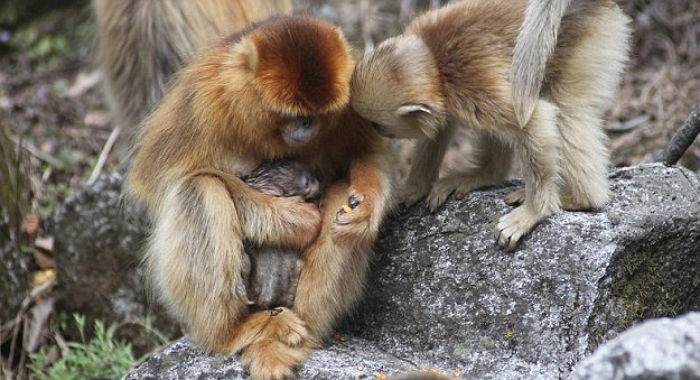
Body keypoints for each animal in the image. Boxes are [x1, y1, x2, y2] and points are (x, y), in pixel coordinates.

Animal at [352, 0, 632, 251]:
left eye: (376, 124)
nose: (379, 133)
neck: (437, 61)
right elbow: (441, 127)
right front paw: (415, 188)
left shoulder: (468, 83)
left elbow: (533, 120)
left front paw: (534, 212)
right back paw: (485, 175)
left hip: (592, 40)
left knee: (565, 111)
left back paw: (581, 199)